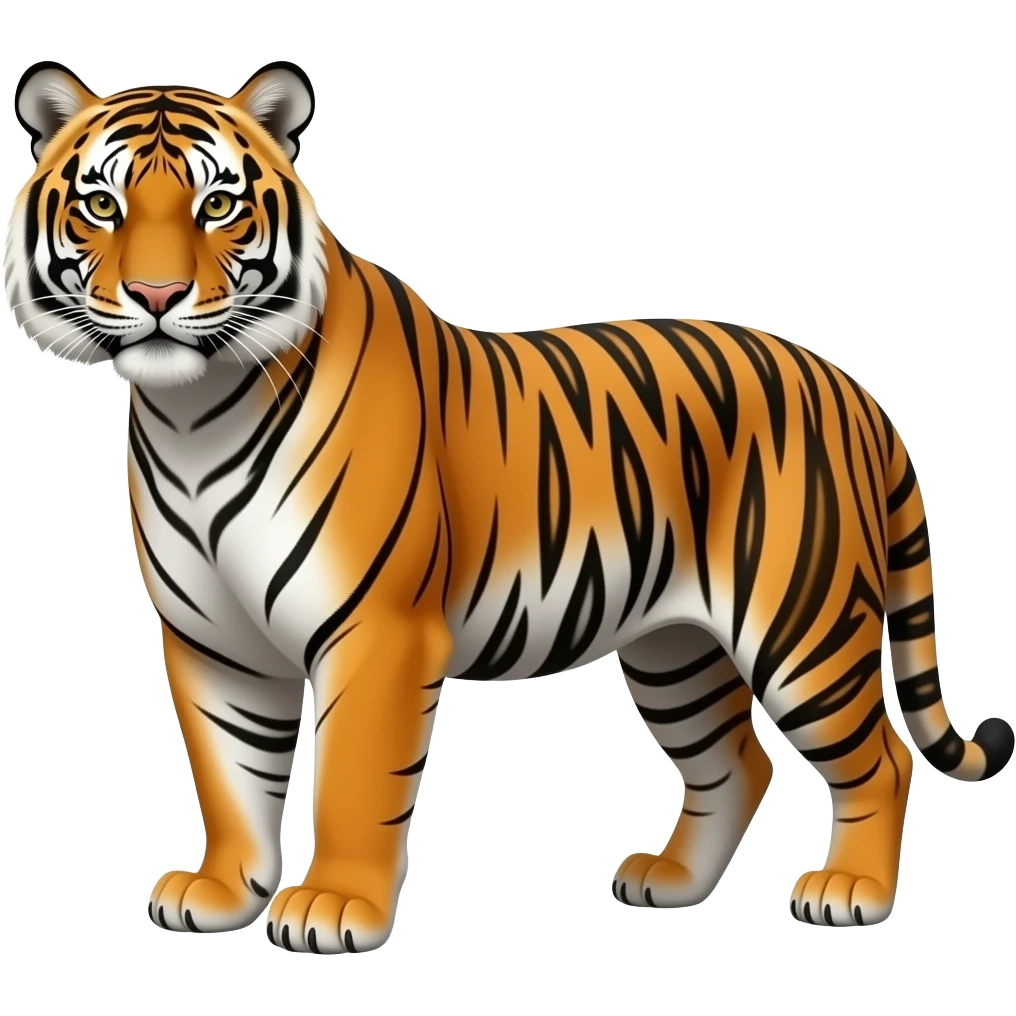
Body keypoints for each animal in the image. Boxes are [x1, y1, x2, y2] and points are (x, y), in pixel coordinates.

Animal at [5, 57, 1012, 954]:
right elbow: (229, 774)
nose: (158, 294)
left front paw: (333, 907)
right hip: (674, 648)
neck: (192, 414)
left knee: (880, 757)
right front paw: (220, 892)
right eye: (102, 205)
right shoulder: (213, 640)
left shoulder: (376, 630)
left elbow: (352, 779)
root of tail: (851, 388)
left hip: (803, 627)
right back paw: (671, 881)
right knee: (738, 760)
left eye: (217, 205)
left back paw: (852, 893)